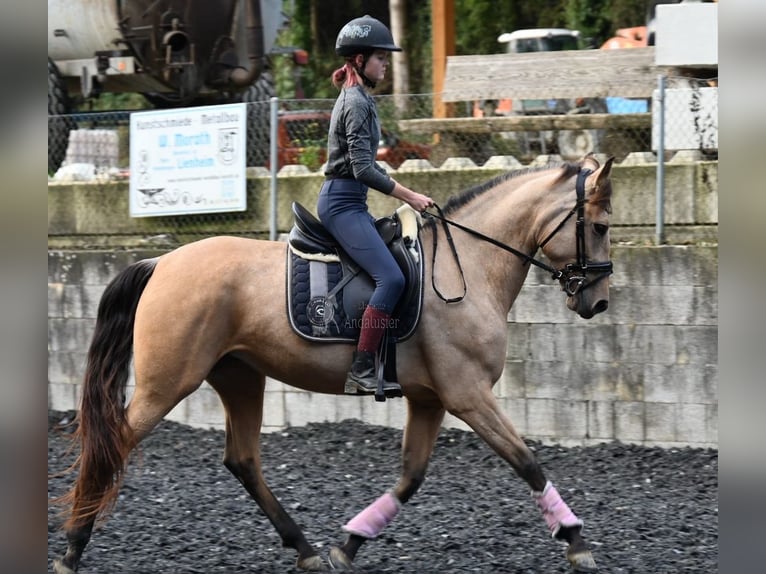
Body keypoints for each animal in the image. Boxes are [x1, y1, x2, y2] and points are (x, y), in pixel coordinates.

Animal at [52, 155, 616, 572]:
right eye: (601, 226)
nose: (599, 302)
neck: (466, 269)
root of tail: (162, 262)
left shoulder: (430, 399)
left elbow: (410, 477)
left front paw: (348, 545)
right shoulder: (468, 394)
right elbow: (526, 461)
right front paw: (576, 540)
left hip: (239, 376)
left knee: (242, 460)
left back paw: (305, 550)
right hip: (167, 383)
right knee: (114, 446)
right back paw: (73, 549)